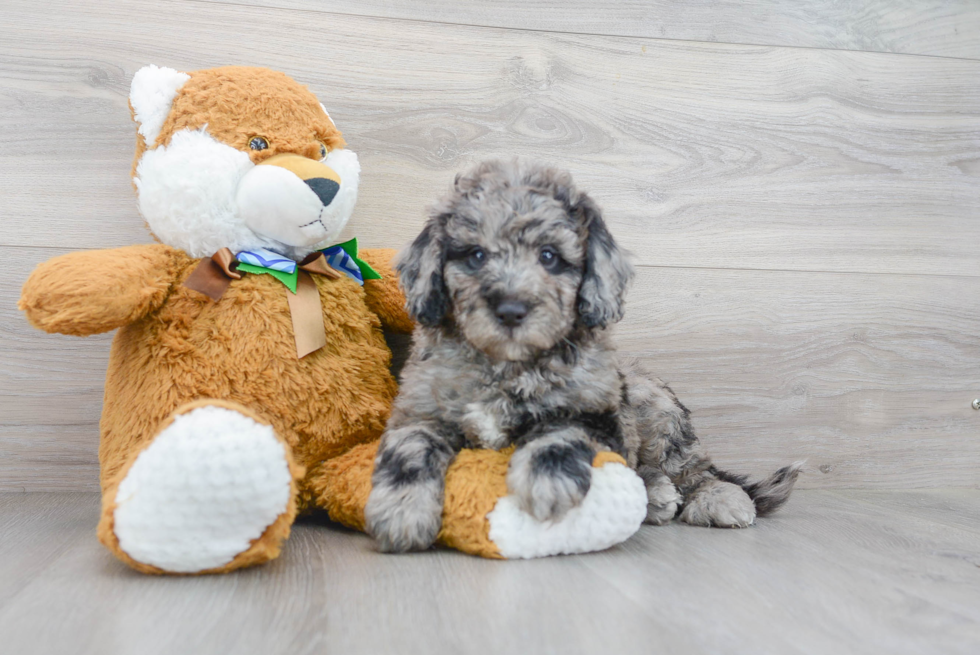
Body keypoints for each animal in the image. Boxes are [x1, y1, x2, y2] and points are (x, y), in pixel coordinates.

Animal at [364, 160, 800, 552]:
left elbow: (560, 430)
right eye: (475, 255)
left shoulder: (592, 410)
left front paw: (548, 482)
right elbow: (409, 449)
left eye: (549, 256)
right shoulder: (420, 410)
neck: (507, 365)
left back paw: (715, 499)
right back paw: (657, 497)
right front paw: (400, 513)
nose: (510, 310)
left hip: (659, 413)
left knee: (695, 469)